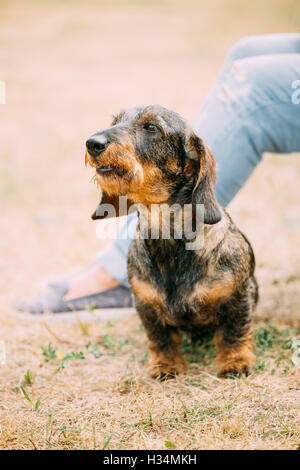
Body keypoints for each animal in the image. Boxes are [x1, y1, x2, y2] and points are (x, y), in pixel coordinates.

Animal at [86, 105, 258, 378]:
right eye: (115, 122)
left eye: (151, 127)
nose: (93, 143)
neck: (168, 240)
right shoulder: (145, 306)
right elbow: (160, 338)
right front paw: (165, 365)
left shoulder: (238, 296)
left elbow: (234, 331)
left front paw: (235, 361)